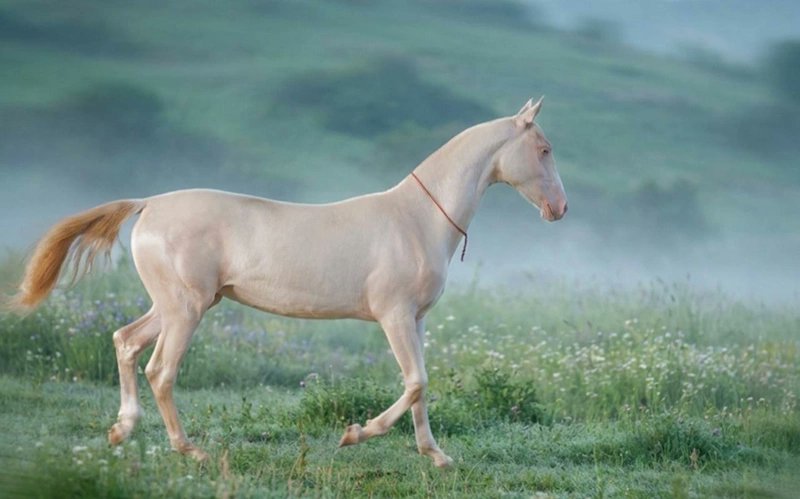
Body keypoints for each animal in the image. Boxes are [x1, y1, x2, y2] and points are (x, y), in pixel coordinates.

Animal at [9, 97, 567, 467]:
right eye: (543, 148)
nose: (559, 209)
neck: (416, 220)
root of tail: (149, 205)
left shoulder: (417, 321)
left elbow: (421, 388)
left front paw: (436, 455)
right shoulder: (394, 316)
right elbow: (416, 382)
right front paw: (355, 434)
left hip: (176, 305)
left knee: (125, 342)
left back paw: (122, 431)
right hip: (186, 309)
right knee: (160, 370)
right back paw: (190, 450)